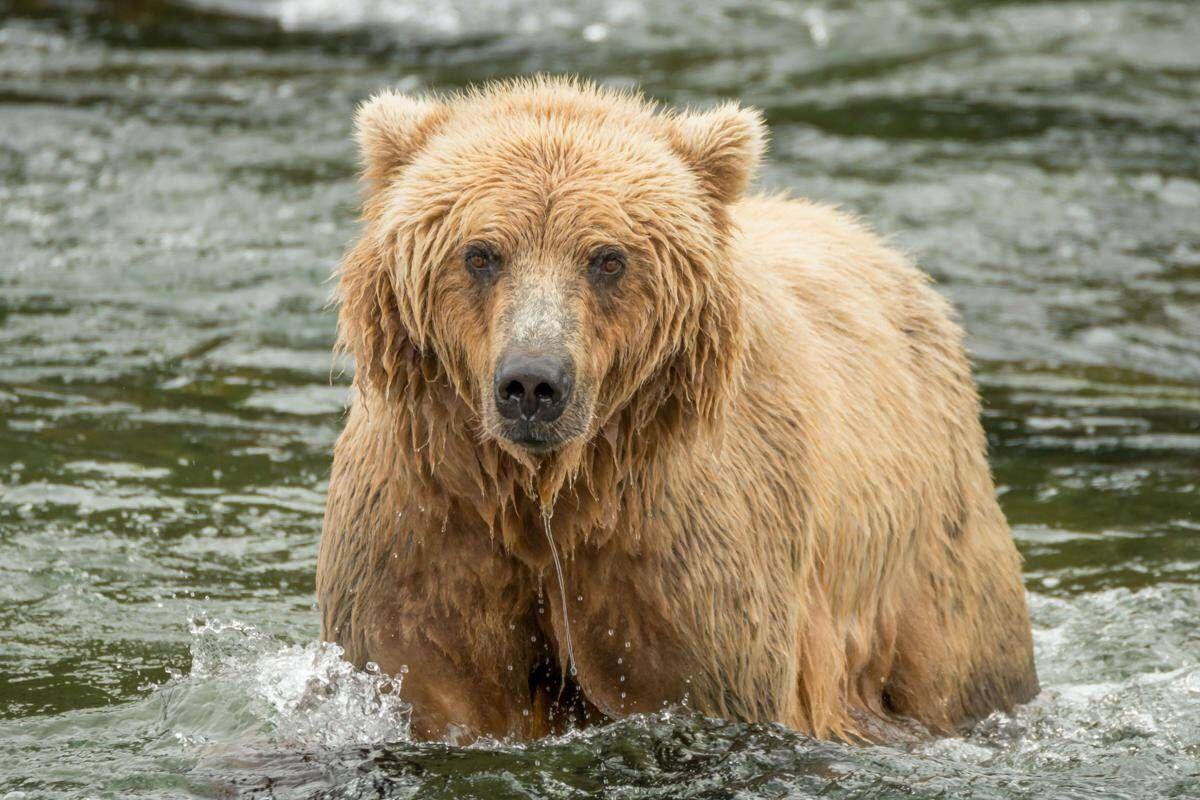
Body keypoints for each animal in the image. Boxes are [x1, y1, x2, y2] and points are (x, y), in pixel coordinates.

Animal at [316, 76, 1038, 743]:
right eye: (481, 253)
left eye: (607, 258)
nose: (533, 384)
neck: (551, 495)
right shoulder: (428, 519)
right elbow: (433, 674)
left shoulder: (684, 545)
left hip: (931, 556)